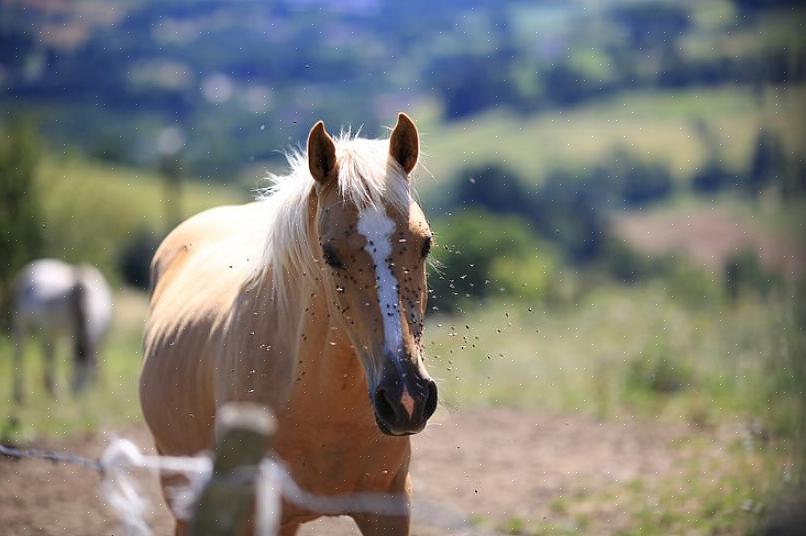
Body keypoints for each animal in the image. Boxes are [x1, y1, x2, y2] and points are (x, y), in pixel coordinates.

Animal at [11, 258, 113, 402]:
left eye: (86, 378)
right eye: (75, 377)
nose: (78, 400)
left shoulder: (98, 339)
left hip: (52, 330)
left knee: (48, 351)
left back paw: (53, 389)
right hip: (20, 322)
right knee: (19, 351)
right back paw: (20, 394)